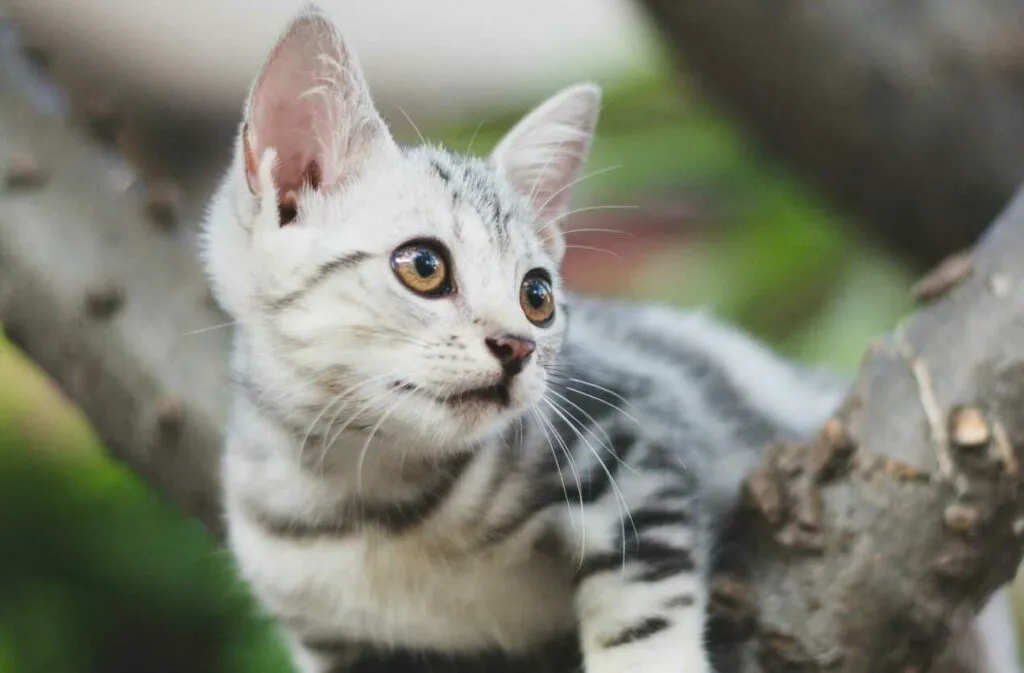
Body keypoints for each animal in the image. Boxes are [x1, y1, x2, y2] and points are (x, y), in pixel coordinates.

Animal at [201, 5, 1024, 671]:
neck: (375, 501)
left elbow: (643, 603)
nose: (518, 348)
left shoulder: (634, 446)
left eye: (537, 297)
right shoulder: (331, 636)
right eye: (425, 267)